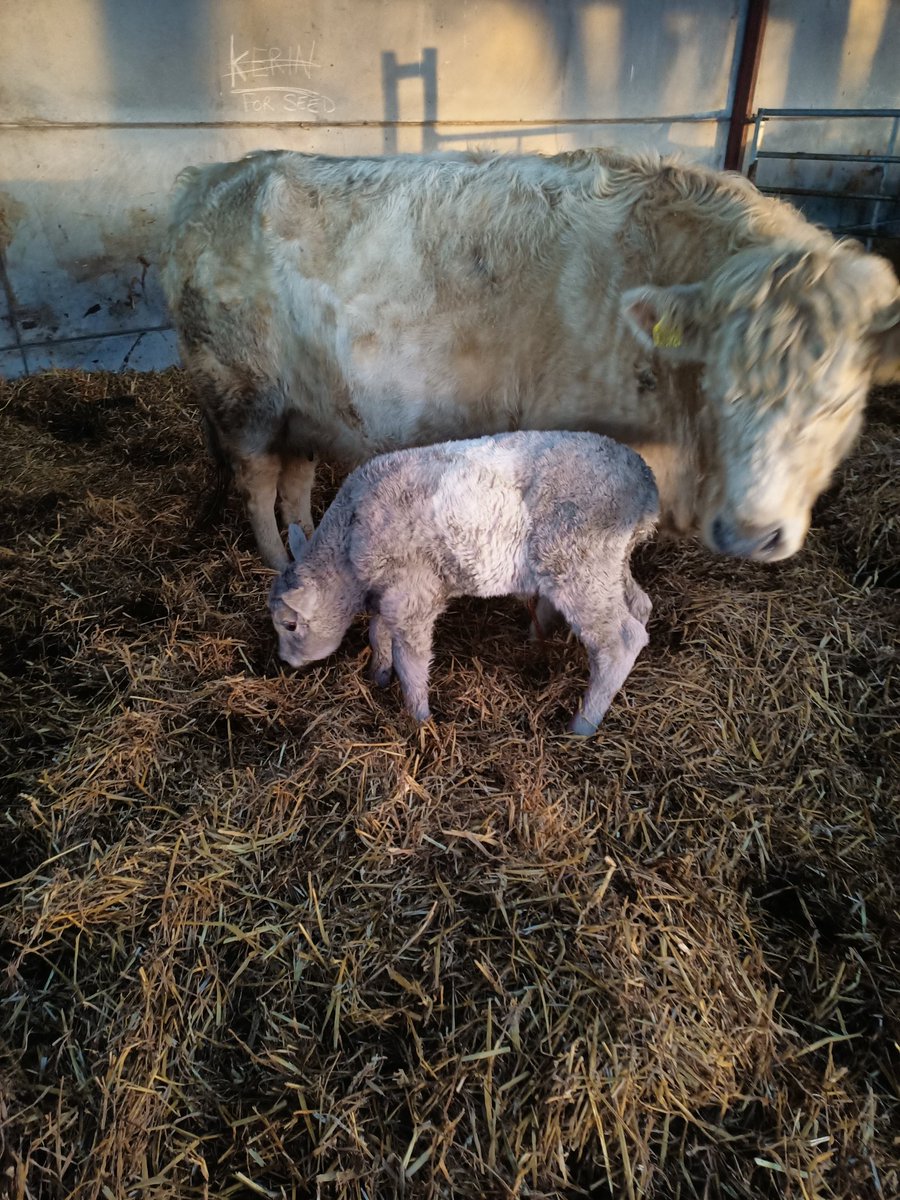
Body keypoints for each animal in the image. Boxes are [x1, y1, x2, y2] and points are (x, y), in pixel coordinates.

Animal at [161, 147, 900, 569]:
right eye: (718, 388)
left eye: (839, 402)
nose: (750, 533)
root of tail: (212, 178)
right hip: (244, 398)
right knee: (258, 485)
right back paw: (276, 561)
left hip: (303, 406)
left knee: (294, 481)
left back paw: (309, 544)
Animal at [269, 430, 658, 735]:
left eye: (290, 625)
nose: (285, 661)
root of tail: (646, 483)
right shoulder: (390, 590)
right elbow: (378, 631)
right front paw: (378, 674)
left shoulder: (412, 596)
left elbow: (410, 661)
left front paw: (419, 719)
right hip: (608, 564)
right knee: (640, 604)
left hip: (578, 561)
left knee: (621, 640)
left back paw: (583, 725)